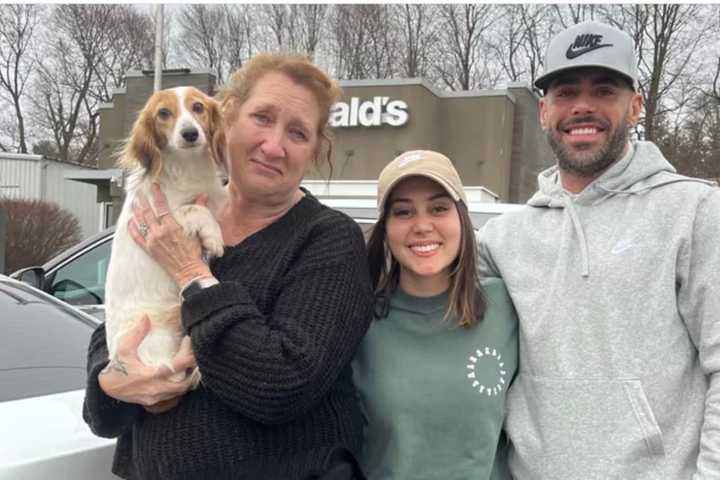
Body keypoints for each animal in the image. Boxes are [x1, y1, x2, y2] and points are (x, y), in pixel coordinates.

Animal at [105, 87, 225, 386]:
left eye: (198, 107)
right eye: (163, 113)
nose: (190, 134)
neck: (188, 168)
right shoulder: (164, 217)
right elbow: (195, 208)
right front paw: (214, 236)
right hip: (160, 341)